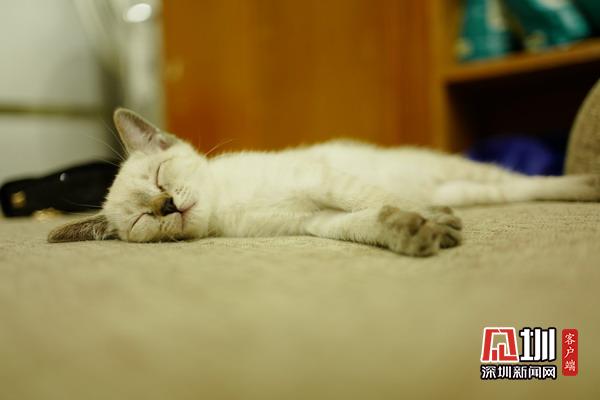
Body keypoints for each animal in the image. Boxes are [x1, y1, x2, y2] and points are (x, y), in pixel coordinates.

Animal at [48, 108, 600, 256]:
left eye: (161, 177)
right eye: (143, 219)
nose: (166, 208)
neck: (228, 207)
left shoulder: (320, 179)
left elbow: (371, 197)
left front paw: (429, 224)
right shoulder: (314, 220)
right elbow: (367, 221)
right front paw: (413, 232)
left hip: (463, 175)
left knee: (528, 182)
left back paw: (587, 185)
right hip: (469, 191)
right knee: (508, 190)